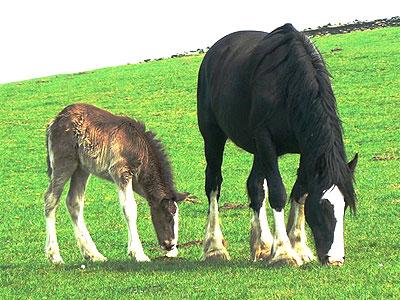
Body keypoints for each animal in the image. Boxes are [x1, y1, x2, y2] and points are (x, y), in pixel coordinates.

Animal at [44, 104, 187, 264]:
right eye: (168, 217)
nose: (170, 244)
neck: (139, 147)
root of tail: (55, 121)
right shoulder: (121, 172)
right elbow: (130, 209)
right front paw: (139, 253)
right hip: (64, 162)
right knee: (51, 199)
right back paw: (55, 256)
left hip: (81, 169)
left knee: (73, 202)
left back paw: (93, 254)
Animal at [198, 24, 358, 268]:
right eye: (323, 206)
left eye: (345, 206)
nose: (335, 259)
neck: (288, 85)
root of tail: (213, 52)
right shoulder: (266, 140)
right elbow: (278, 192)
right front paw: (283, 252)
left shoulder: (305, 148)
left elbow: (300, 191)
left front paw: (298, 246)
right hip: (214, 137)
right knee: (214, 184)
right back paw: (214, 248)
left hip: (258, 150)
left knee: (255, 186)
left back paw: (262, 245)